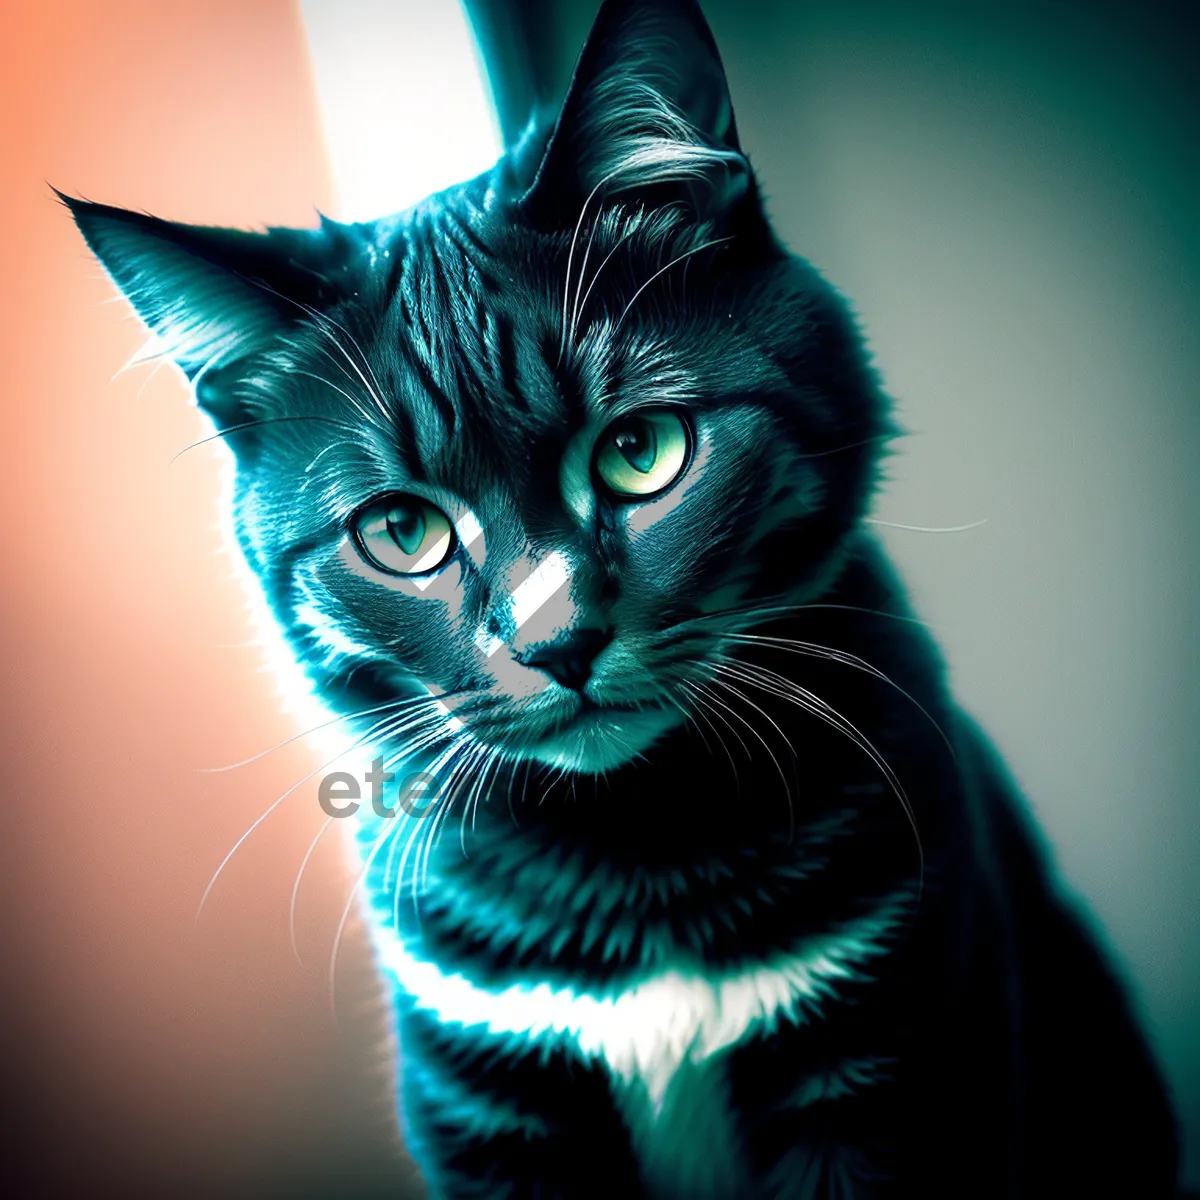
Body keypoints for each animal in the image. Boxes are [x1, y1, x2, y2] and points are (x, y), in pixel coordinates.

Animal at [60, 0, 1176, 1190]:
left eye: (640, 451)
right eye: (400, 532)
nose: (557, 642)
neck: (637, 857)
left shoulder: (898, 1048)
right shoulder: (483, 1100)